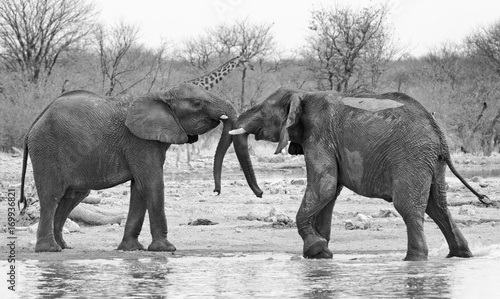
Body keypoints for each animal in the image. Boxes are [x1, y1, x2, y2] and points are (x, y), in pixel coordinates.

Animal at [18, 84, 262, 253]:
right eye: (198, 104)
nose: (216, 191)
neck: (162, 95)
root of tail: (34, 123)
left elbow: (140, 188)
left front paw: (132, 249)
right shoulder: (139, 141)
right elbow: (152, 184)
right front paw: (166, 249)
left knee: (73, 196)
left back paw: (64, 246)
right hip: (47, 150)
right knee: (52, 196)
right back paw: (49, 250)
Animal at [231, 88, 492, 262]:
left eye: (260, 111)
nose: (260, 193)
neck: (302, 94)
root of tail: (439, 135)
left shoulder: (319, 134)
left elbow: (324, 186)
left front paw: (316, 249)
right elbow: (329, 193)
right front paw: (320, 255)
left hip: (411, 158)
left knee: (409, 208)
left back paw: (413, 260)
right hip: (432, 163)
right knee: (437, 206)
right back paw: (460, 255)